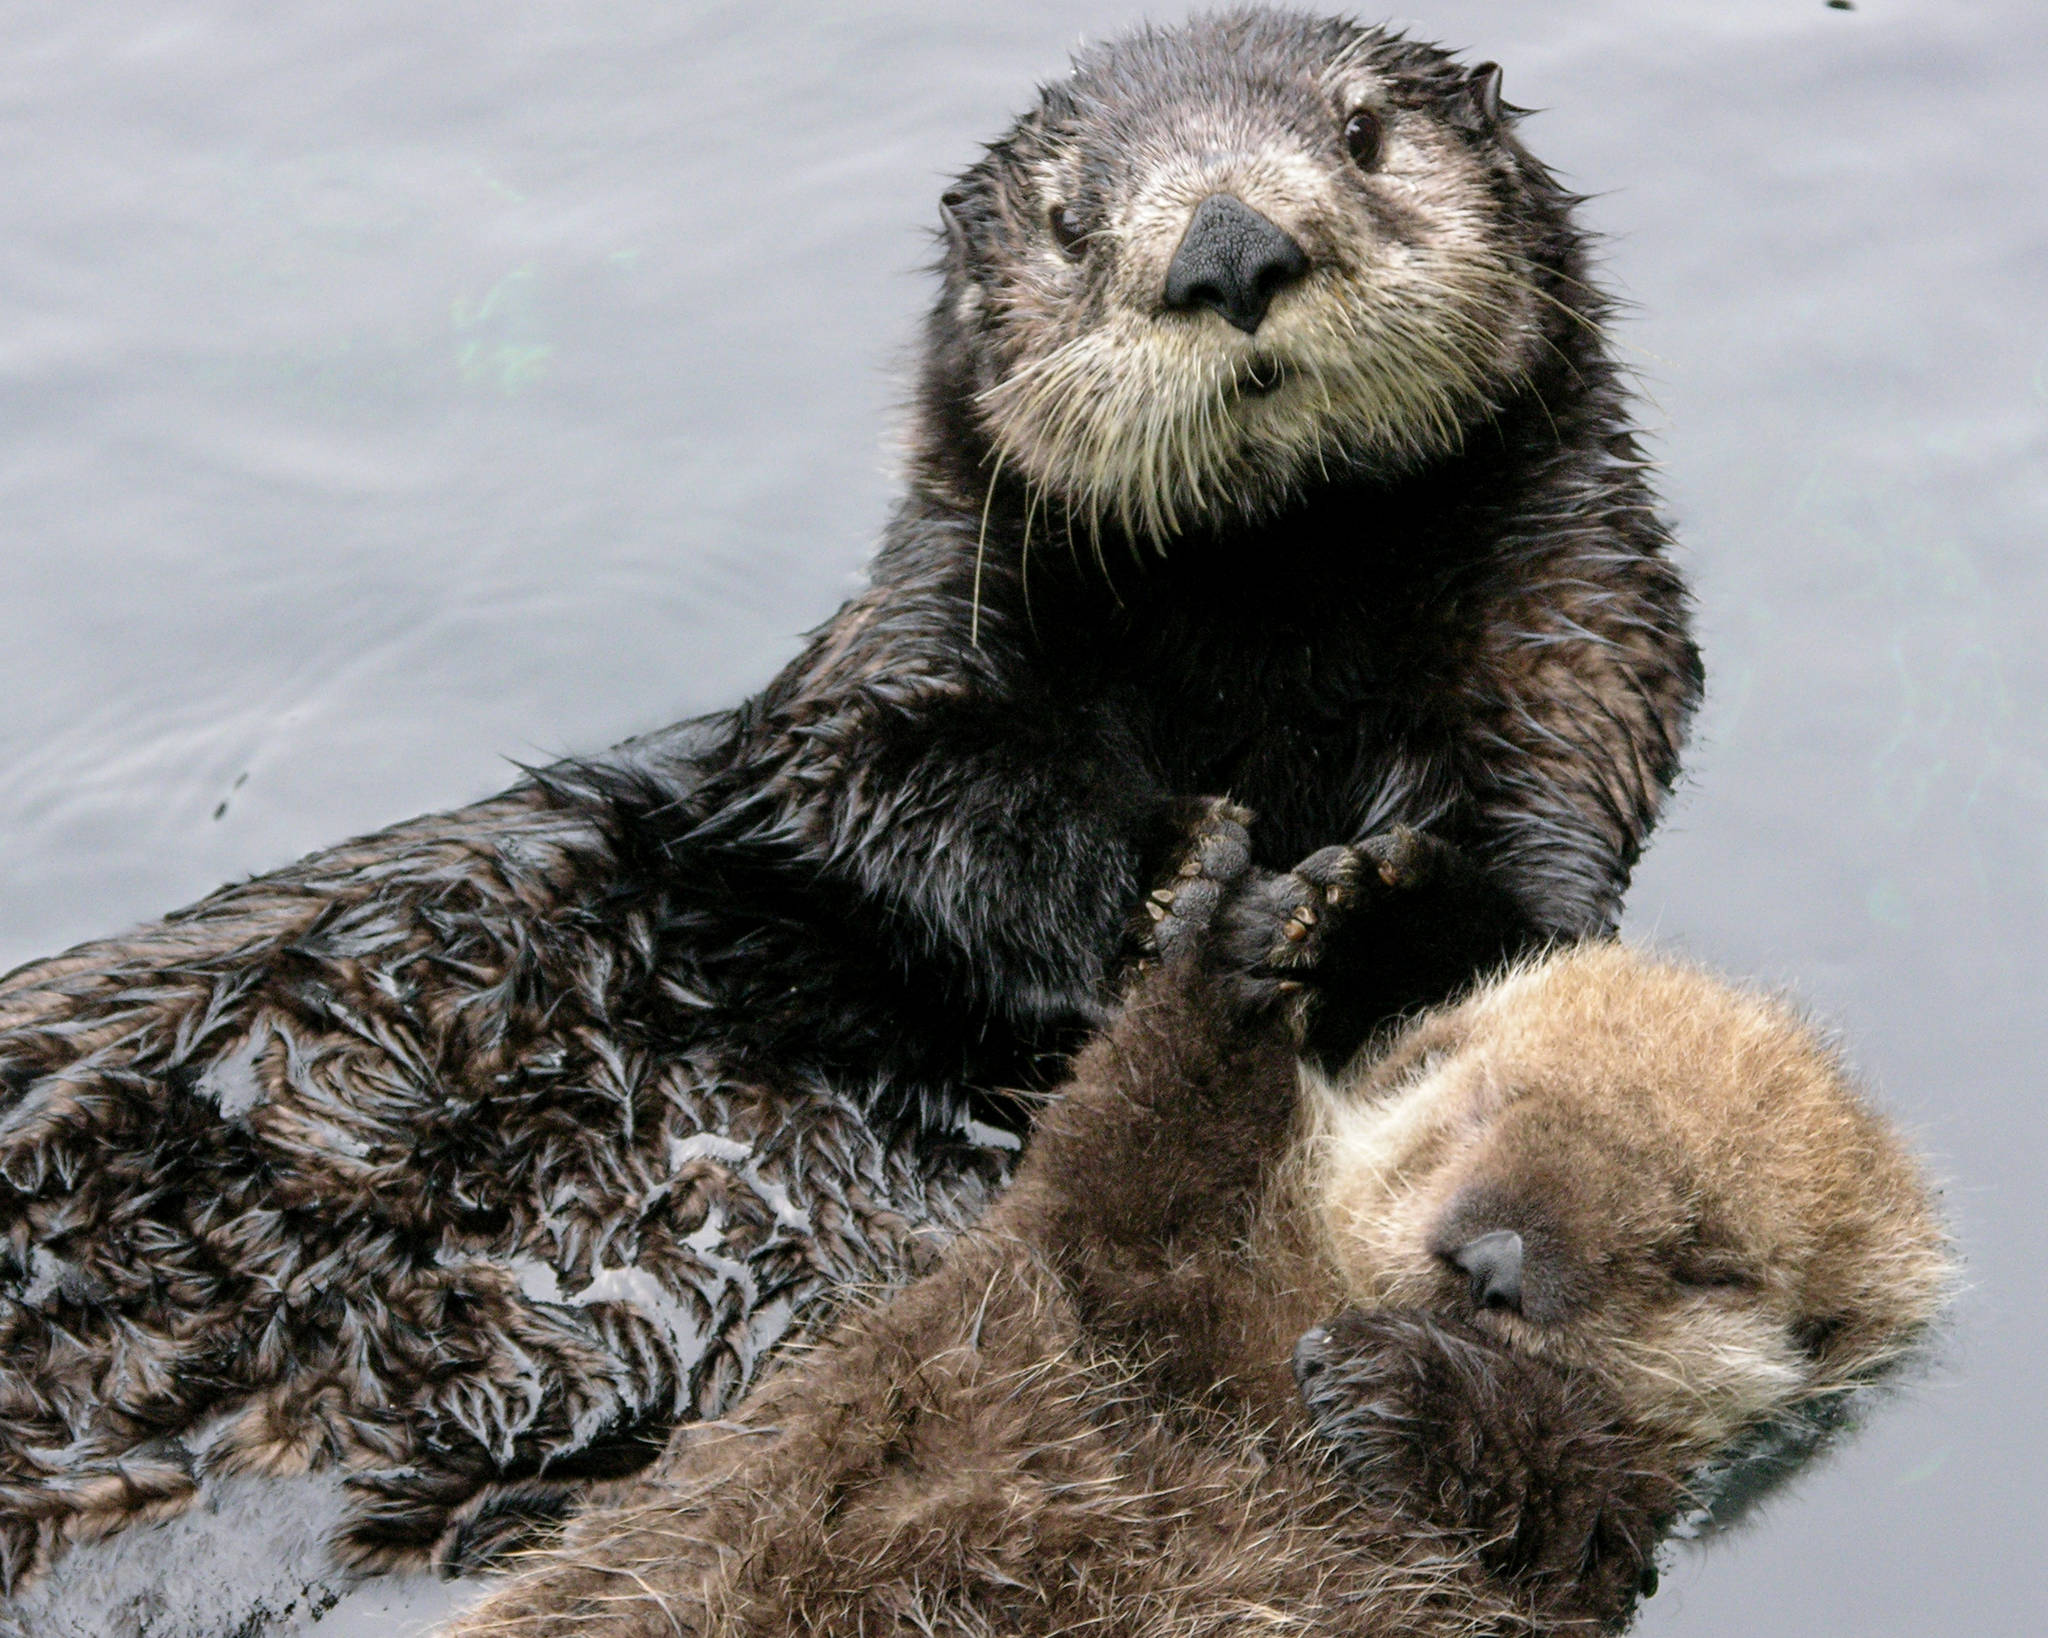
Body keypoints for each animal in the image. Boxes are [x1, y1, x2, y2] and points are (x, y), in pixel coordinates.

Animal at [0, 8, 1697, 1591]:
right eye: (1074, 215)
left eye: (1361, 133)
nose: (1229, 246)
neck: (1274, 609)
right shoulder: (911, 645)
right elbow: (891, 804)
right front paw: (1176, 865)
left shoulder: (1574, 671)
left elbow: (1532, 920)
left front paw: (1355, 901)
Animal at [437, 809, 1951, 1638]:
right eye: (1466, 1095)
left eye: (1697, 1255)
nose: (1489, 1258)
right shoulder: (1099, 1275)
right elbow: (1133, 1142)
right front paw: (1331, 910)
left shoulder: (1597, 1539)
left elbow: (1560, 1490)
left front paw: (1404, 1383)